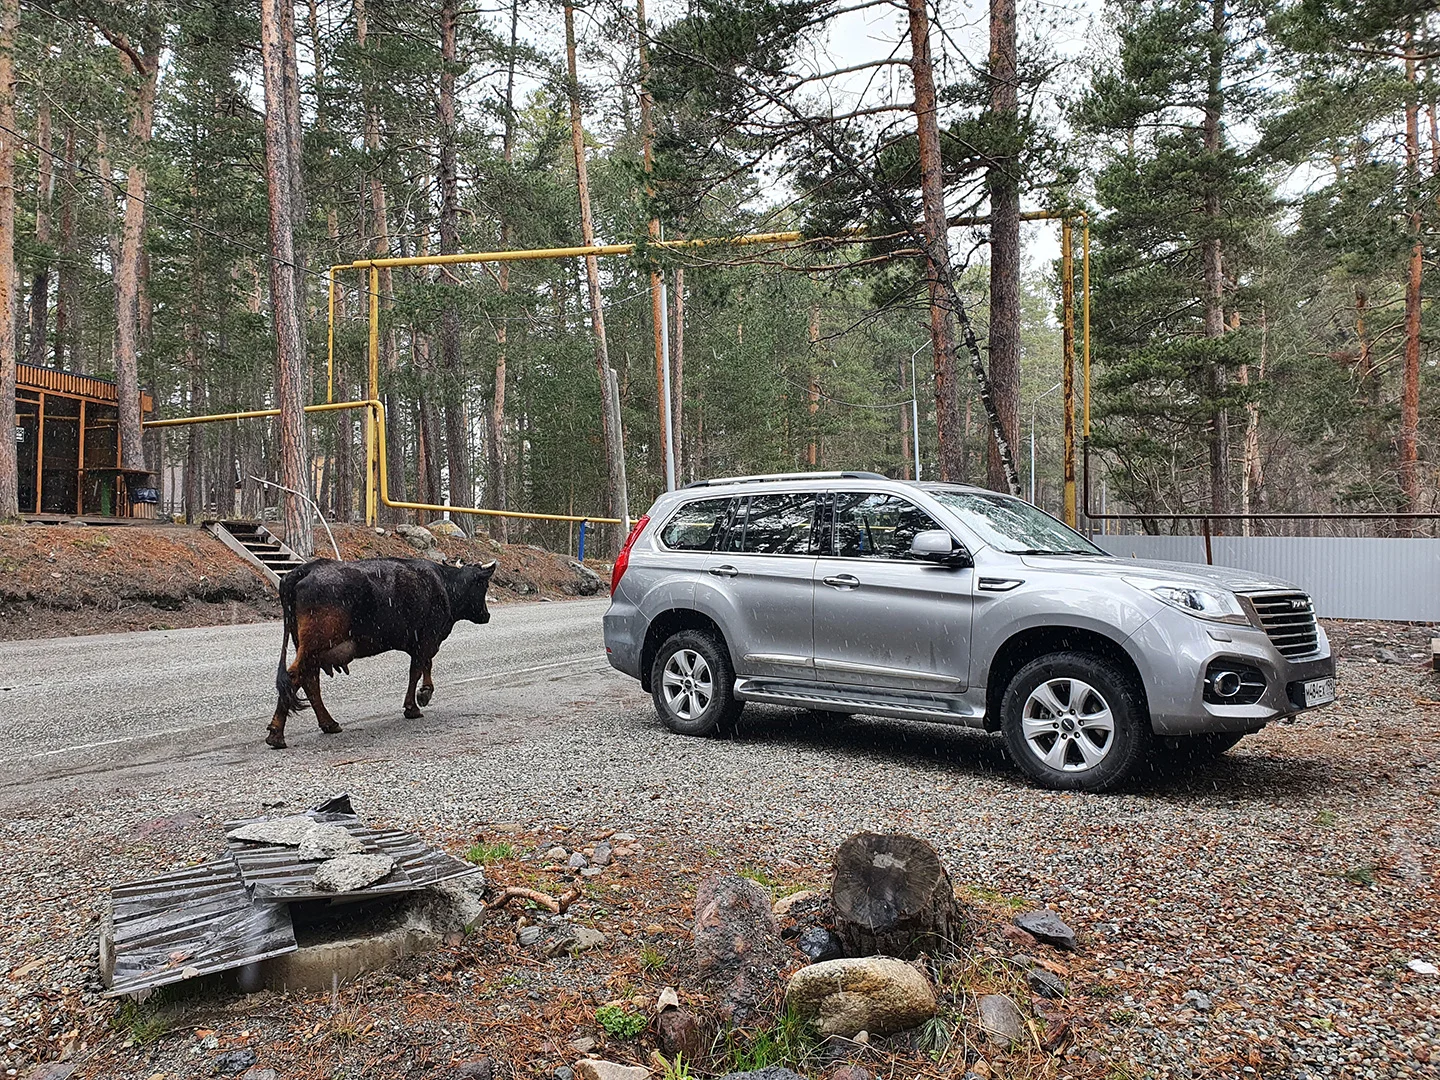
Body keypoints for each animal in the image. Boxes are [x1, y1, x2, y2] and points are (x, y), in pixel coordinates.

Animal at [267, 558, 498, 754]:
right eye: (484, 586)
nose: (487, 615)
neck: (444, 584)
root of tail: (305, 569)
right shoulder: (427, 639)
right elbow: (418, 669)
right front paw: (416, 703)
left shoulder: (421, 642)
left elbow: (424, 665)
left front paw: (422, 695)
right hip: (314, 645)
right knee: (295, 677)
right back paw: (277, 734)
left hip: (310, 650)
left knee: (309, 681)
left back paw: (328, 724)